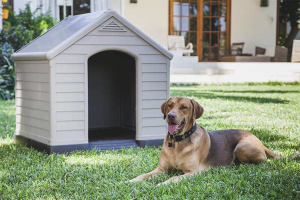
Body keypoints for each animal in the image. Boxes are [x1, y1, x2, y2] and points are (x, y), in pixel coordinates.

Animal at [129, 96, 282, 185]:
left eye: (184, 107)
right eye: (170, 105)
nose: (170, 116)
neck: (178, 143)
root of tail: (258, 139)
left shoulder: (193, 172)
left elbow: (172, 178)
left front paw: (161, 184)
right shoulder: (161, 169)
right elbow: (144, 175)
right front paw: (131, 181)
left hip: (242, 146)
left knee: (262, 160)